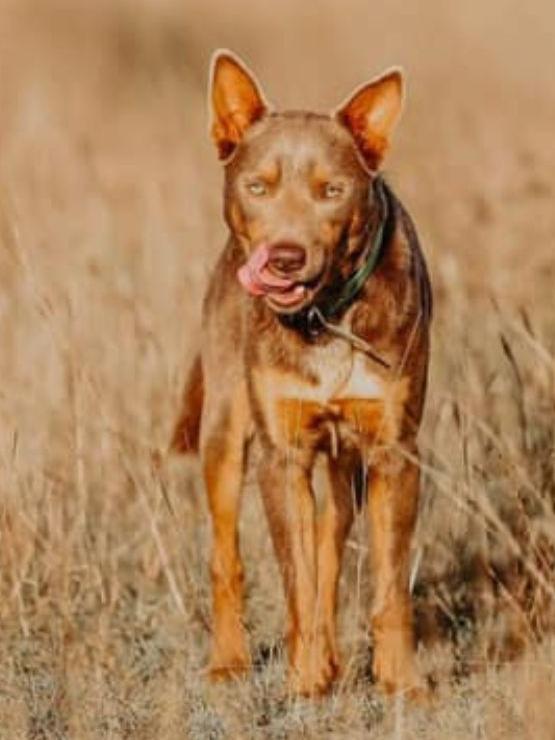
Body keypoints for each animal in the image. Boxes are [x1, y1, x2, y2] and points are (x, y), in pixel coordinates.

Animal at [172, 52, 432, 700]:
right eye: (257, 187)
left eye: (332, 191)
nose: (285, 258)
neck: (324, 318)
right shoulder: (281, 452)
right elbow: (295, 575)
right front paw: (305, 676)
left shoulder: (393, 450)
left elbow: (388, 580)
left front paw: (402, 682)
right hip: (223, 431)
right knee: (228, 556)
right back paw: (230, 661)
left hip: (347, 465)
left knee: (330, 541)